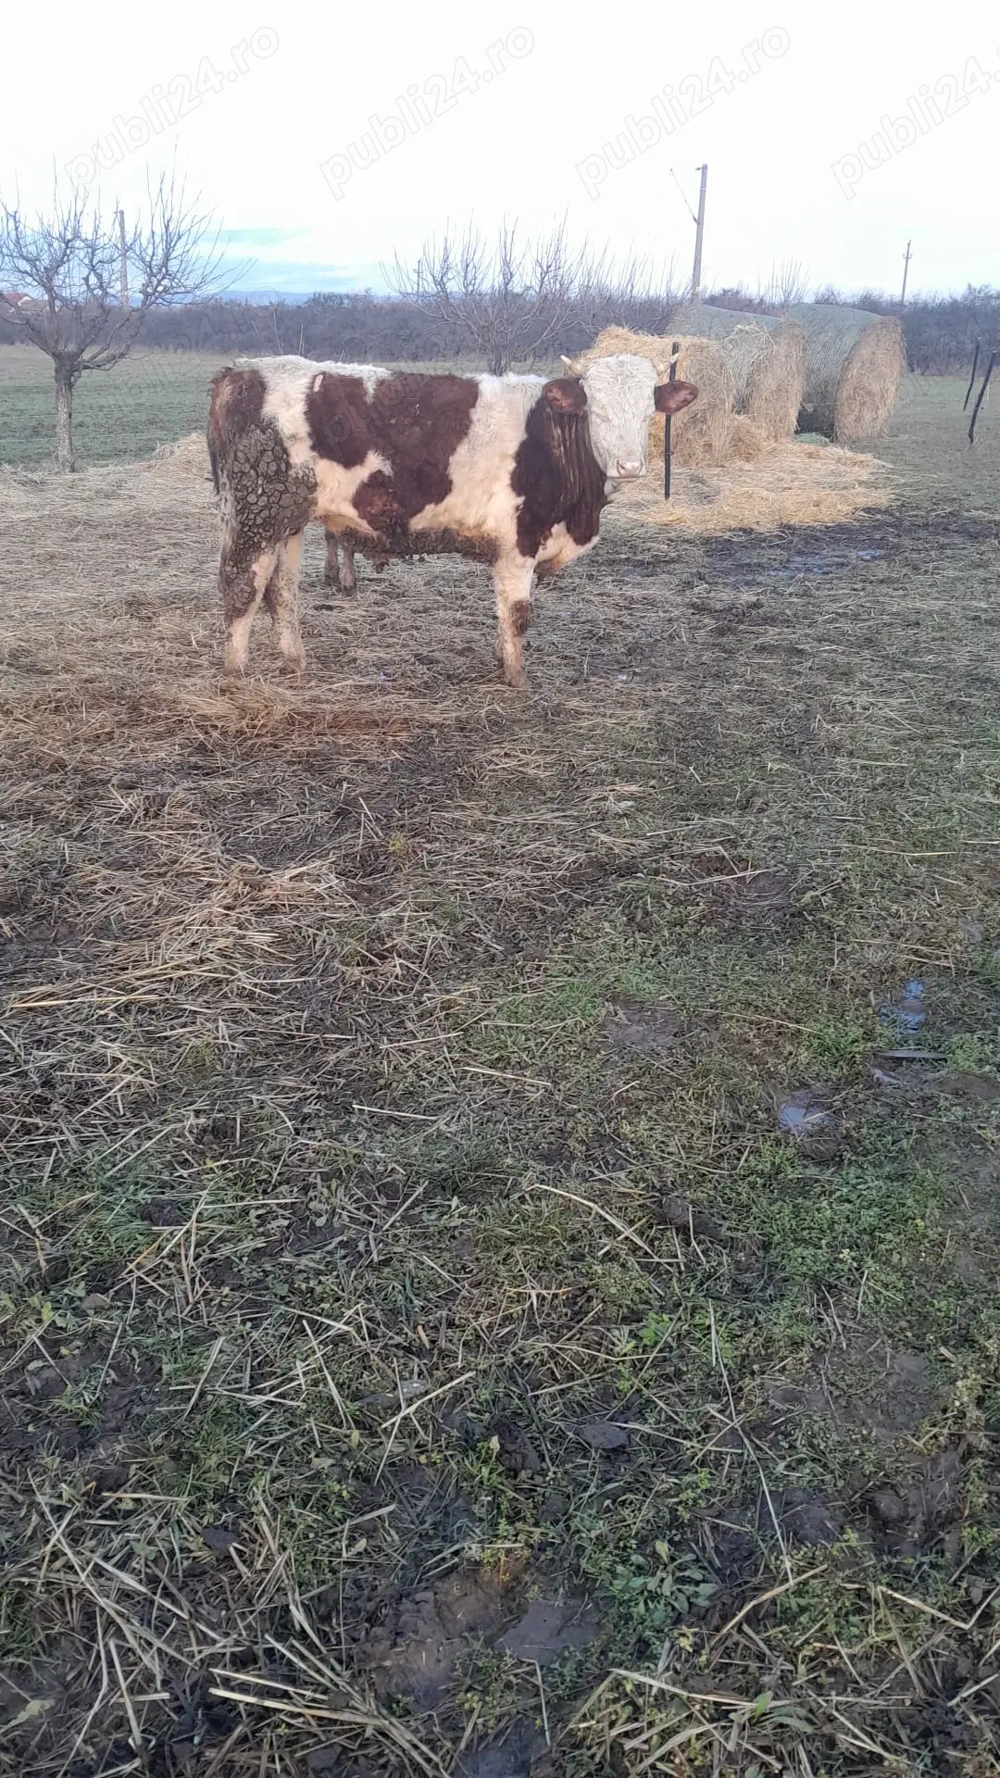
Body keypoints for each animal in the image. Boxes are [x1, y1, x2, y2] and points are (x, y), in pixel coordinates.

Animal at [207, 354, 697, 689]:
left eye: (648, 412)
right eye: (596, 410)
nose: (629, 466)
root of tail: (243, 372)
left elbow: (504, 613)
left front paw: (502, 661)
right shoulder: (519, 539)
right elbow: (518, 614)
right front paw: (517, 679)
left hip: (288, 519)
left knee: (282, 591)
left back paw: (295, 663)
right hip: (257, 512)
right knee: (242, 586)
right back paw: (235, 673)